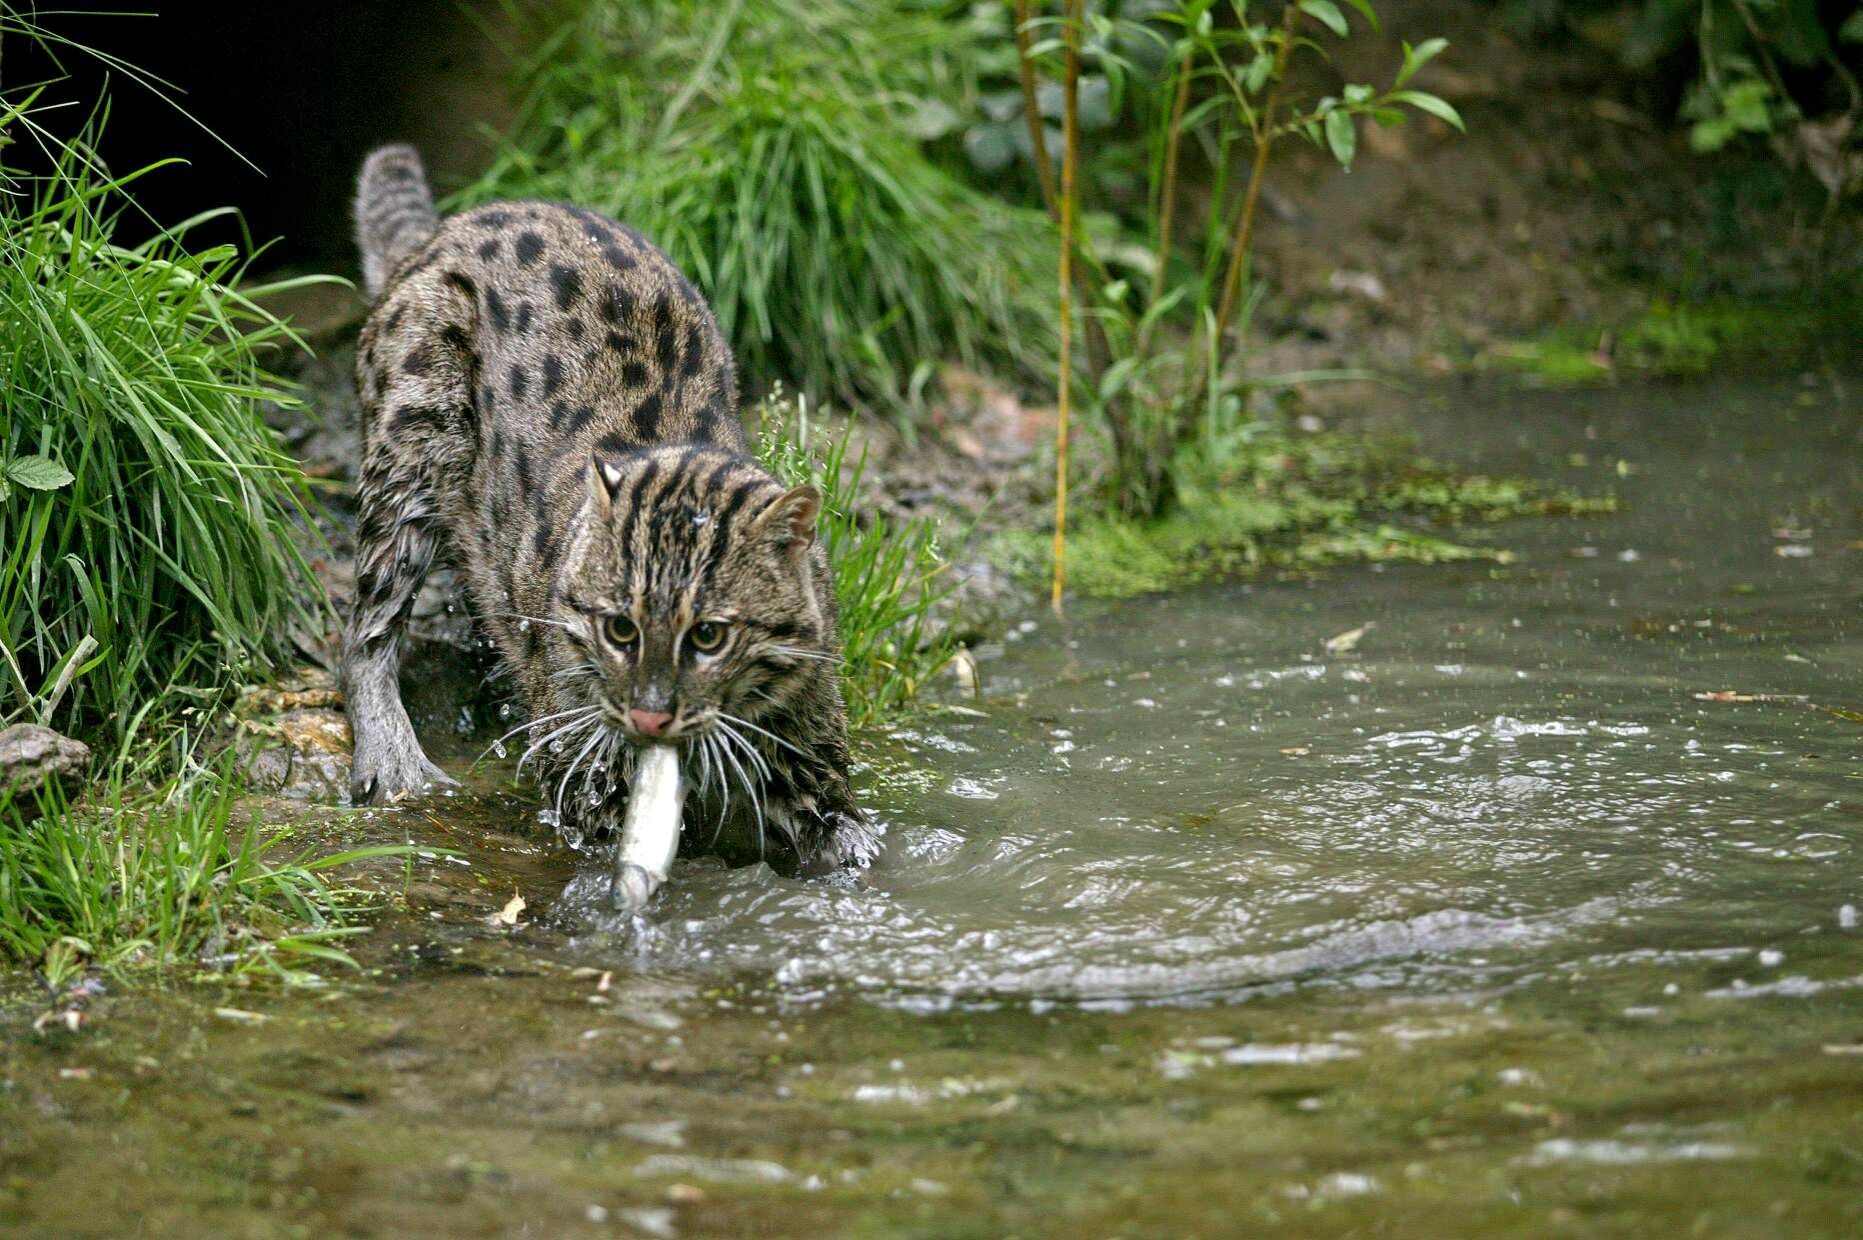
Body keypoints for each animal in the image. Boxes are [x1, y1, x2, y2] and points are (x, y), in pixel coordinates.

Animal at [340, 145, 879, 867]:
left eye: (710, 635)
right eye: (619, 628)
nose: (650, 715)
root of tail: (439, 233)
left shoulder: (807, 735)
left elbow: (846, 831)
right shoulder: (579, 754)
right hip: (413, 434)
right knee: (367, 627)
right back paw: (393, 759)